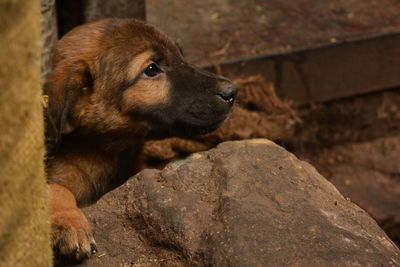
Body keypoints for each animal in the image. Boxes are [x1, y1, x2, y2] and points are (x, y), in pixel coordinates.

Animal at [44, 18, 238, 262]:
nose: (232, 91)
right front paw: (70, 223)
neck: (106, 153)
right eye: (151, 69)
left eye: (180, 55)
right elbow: (56, 188)